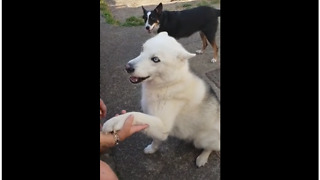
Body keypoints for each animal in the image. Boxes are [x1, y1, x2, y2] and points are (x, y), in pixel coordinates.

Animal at [102, 32, 220, 167]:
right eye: (142, 49)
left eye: (155, 59)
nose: (127, 67)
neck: (168, 84)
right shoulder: (158, 127)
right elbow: (156, 139)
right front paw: (152, 149)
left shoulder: (162, 125)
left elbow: (135, 115)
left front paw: (114, 122)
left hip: (201, 140)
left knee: (211, 147)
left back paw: (202, 157)